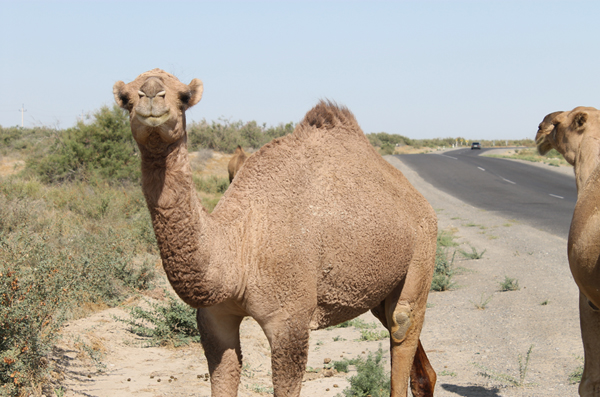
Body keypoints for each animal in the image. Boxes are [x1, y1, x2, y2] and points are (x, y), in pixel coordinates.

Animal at [115, 68, 438, 396]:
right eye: (125, 99)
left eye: (183, 96)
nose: (151, 95)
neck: (238, 249)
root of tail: (419, 200)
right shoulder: (214, 319)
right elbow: (223, 378)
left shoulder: (290, 321)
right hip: (378, 286)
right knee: (406, 345)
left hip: (423, 249)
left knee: (402, 323)